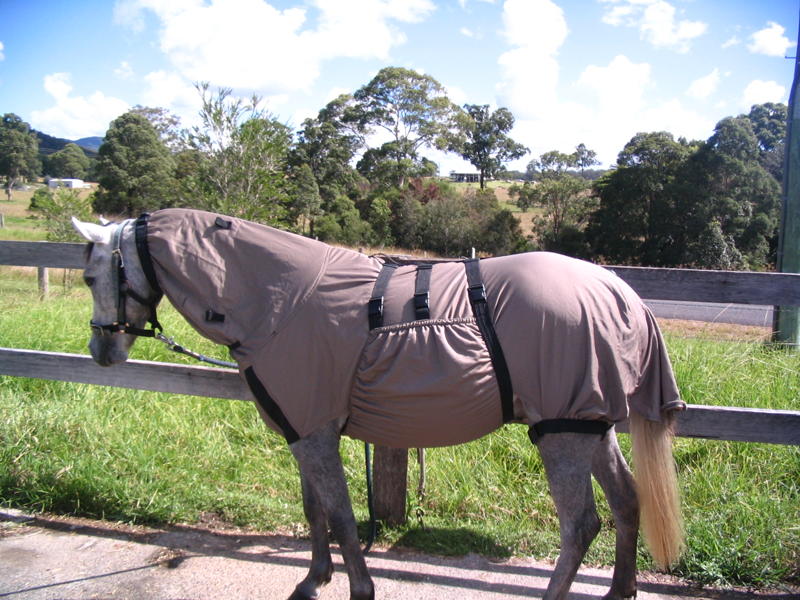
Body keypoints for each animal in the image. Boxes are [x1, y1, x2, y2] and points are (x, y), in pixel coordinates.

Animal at [72, 208, 685, 600]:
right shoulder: (303, 430)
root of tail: (617, 289)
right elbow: (315, 510)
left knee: (580, 526)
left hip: (562, 432)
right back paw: (620, 593)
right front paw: (313, 580)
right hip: (587, 424)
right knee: (628, 502)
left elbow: (342, 516)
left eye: (89, 274)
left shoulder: (315, 433)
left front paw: (358, 587)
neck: (281, 301)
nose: (101, 351)